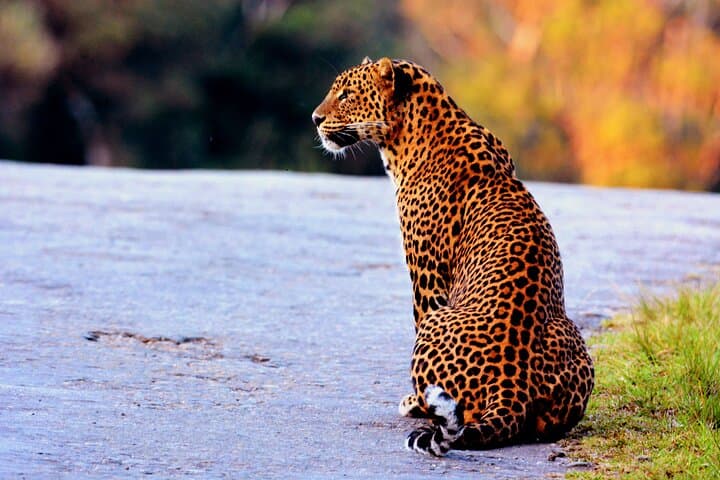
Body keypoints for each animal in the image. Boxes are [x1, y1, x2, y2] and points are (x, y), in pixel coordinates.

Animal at [312, 57, 594, 456]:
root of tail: (511, 386)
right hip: (573, 339)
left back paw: (419, 405)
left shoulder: (427, 274)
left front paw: (412, 402)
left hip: (437, 322)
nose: (315, 118)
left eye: (347, 94)